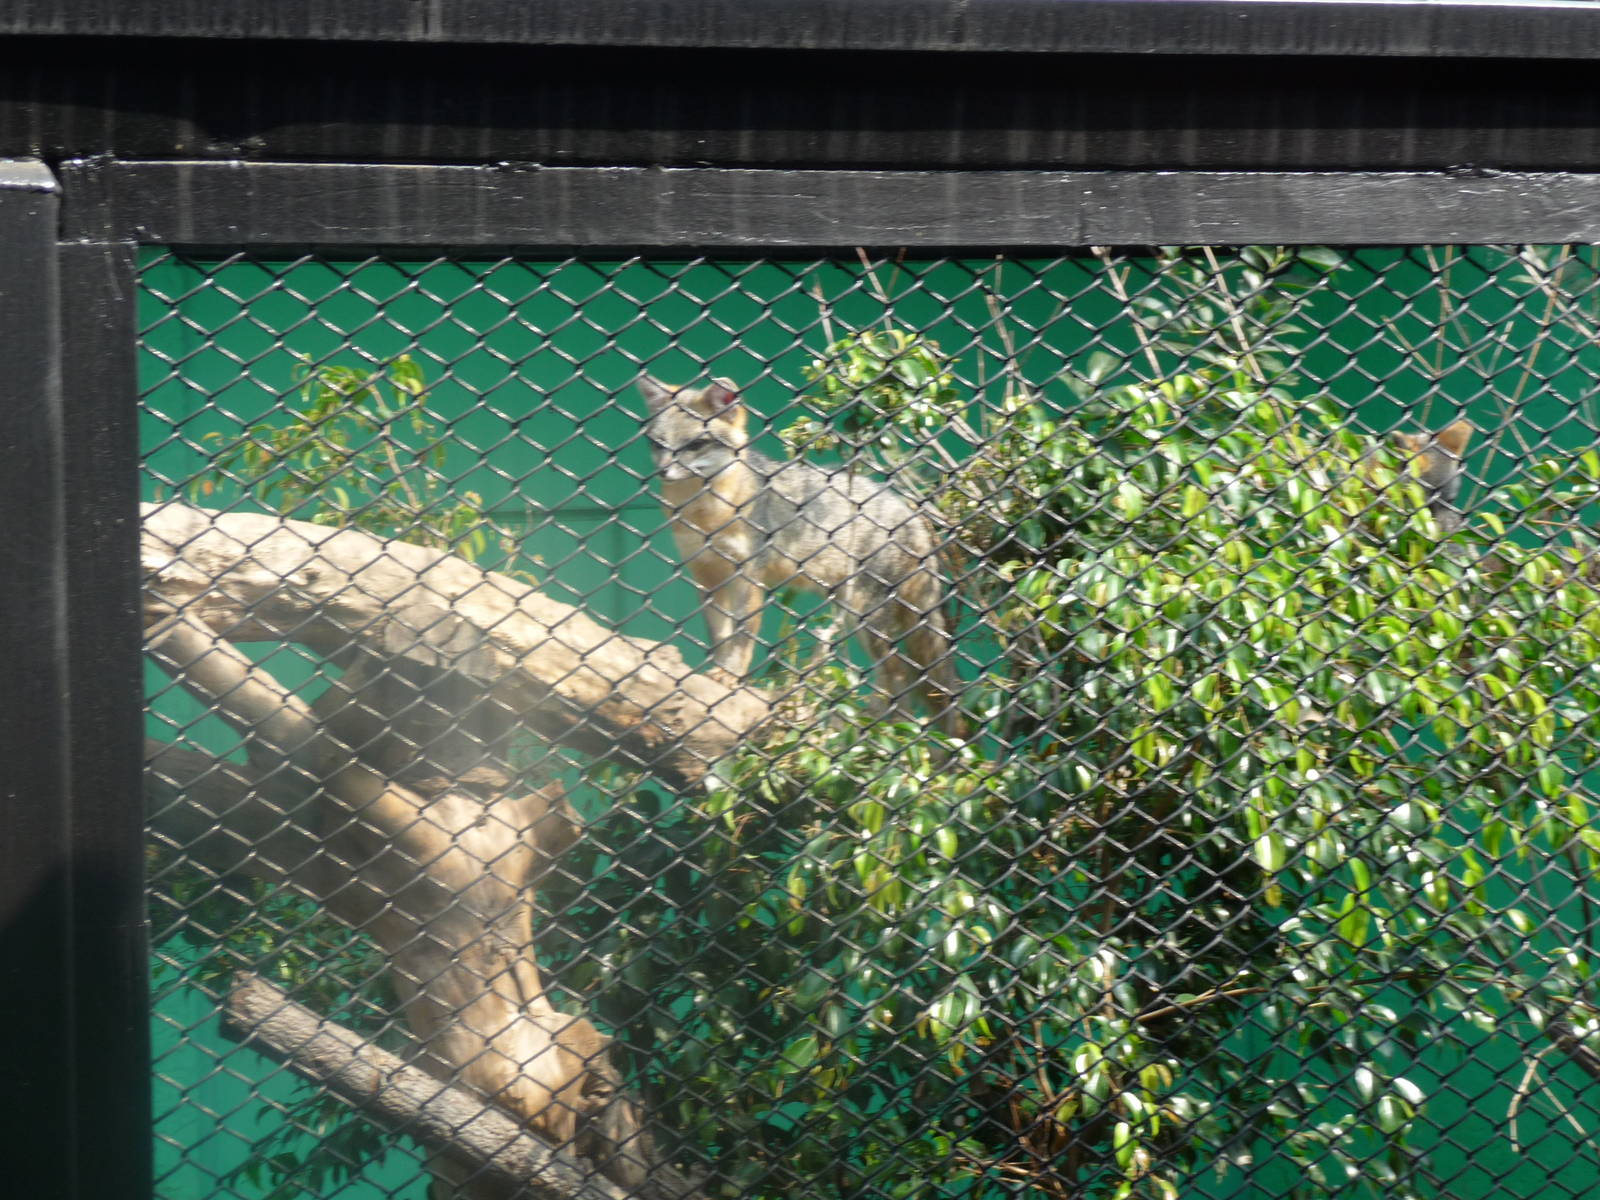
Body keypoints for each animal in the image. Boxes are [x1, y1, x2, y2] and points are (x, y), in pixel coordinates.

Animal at [637, 375, 964, 734]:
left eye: (695, 445)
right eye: (658, 444)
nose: (662, 472)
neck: (706, 514)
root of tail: (911, 512)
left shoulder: (749, 575)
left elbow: (741, 636)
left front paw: (731, 675)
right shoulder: (707, 575)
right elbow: (720, 636)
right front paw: (717, 672)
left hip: (865, 616)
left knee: (897, 675)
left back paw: (879, 727)